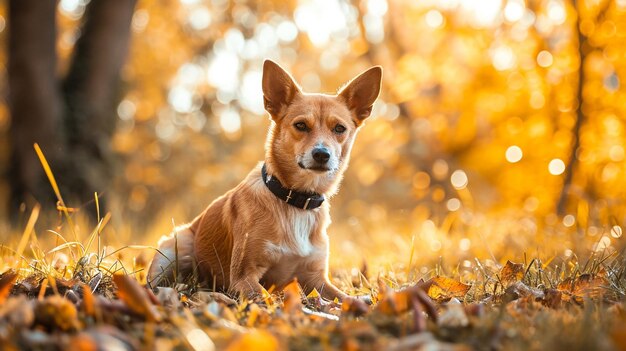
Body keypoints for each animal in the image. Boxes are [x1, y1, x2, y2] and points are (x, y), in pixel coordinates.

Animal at [146, 59, 380, 306]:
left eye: (339, 129)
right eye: (301, 125)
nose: (321, 154)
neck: (295, 200)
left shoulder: (317, 280)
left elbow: (345, 299)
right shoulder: (243, 276)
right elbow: (267, 299)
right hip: (172, 249)